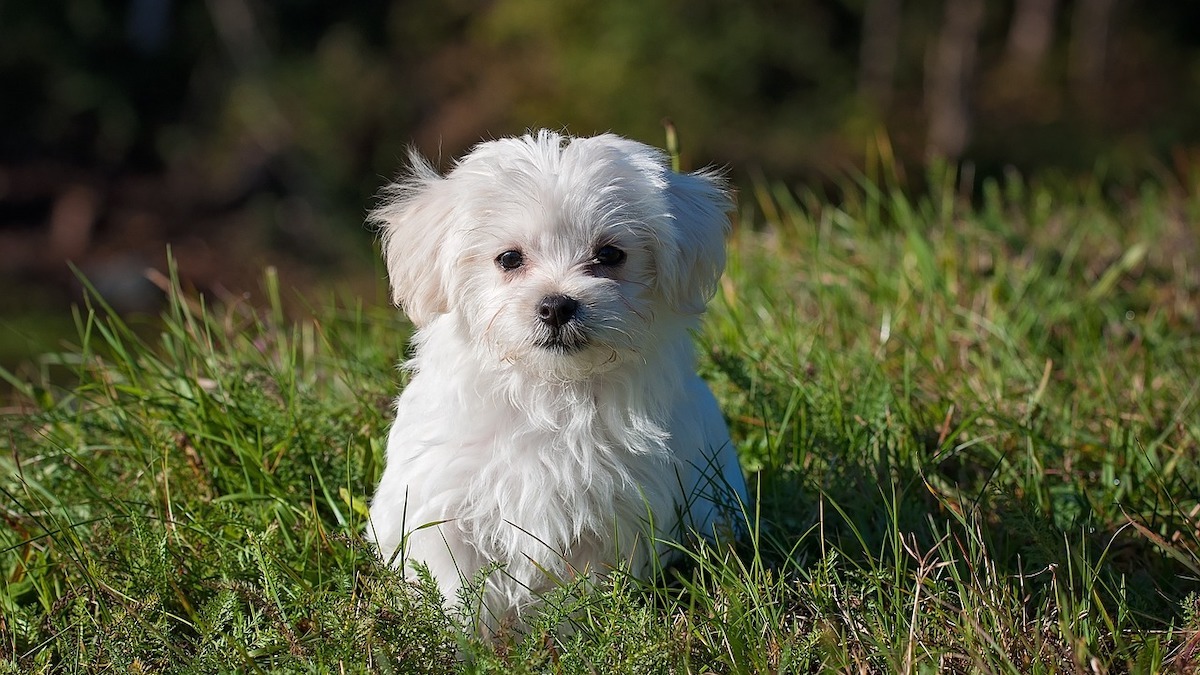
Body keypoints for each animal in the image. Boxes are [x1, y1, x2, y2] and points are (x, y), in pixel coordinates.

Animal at [364, 128, 744, 629]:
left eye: (610, 254)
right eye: (509, 258)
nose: (557, 305)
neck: (550, 392)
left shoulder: (610, 518)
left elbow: (579, 594)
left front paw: (570, 635)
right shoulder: (443, 507)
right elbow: (458, 589)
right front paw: (465, 640)